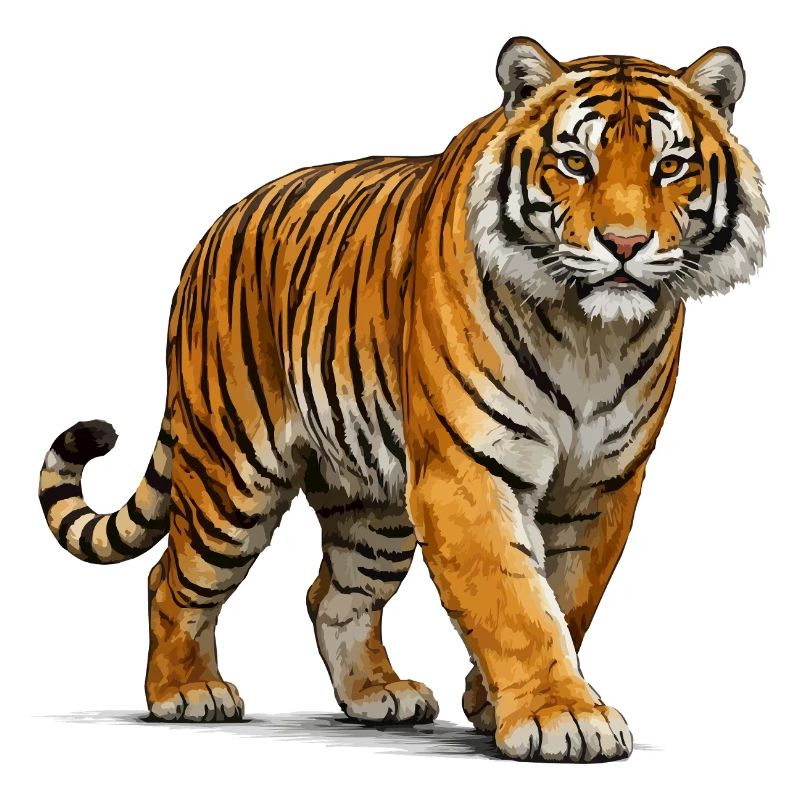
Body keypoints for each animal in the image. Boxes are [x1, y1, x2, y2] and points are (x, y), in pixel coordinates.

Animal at [38, 37, 767, 762]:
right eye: (575, 163)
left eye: (670, 166)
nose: (624, 244)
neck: (590, 334)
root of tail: (213, 233)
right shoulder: (465, 470)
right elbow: (514, 601)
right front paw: (561, 715)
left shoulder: (602, 482)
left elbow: (567, 595)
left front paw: (494, 702)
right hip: (231, 474)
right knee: (171, 579)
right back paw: (185, 693)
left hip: (374, 506)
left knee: (333, 594)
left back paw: (375, 695)